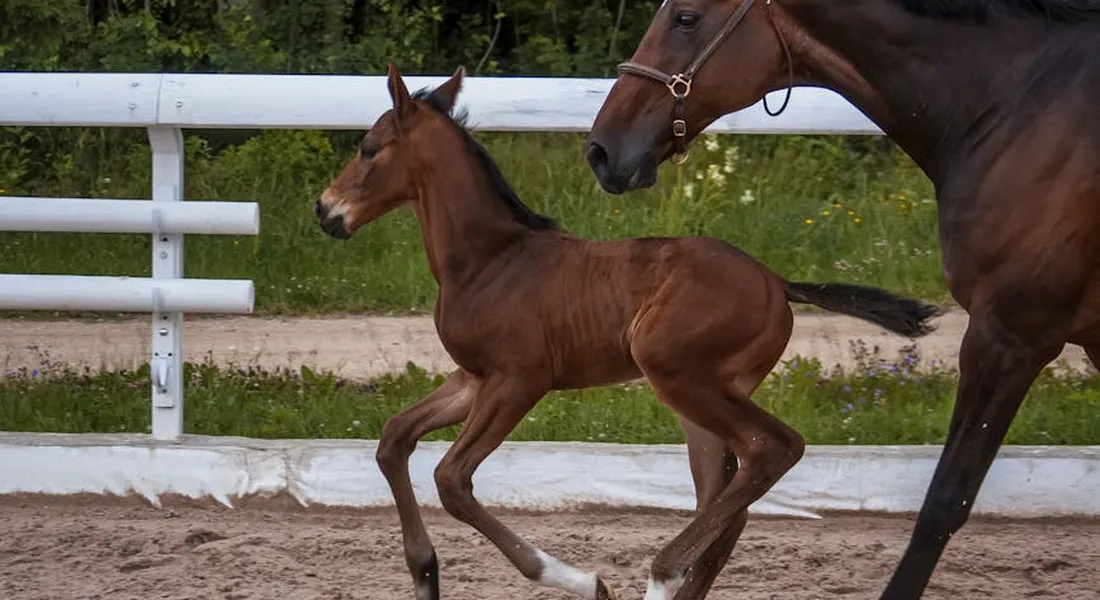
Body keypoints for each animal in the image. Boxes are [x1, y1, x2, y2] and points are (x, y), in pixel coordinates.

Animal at [314, 62, 939, 600]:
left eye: (368, 148)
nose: (325, 211)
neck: (488, 259)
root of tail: (776, 281)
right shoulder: (473, 378)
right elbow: (393, 439)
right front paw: (425, 571)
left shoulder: (519, 379)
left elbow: (451, 478)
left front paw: (586, 581)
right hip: (705, 401)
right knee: (728, 508)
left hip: (678, 376)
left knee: (773, 450)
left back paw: (662, 574)